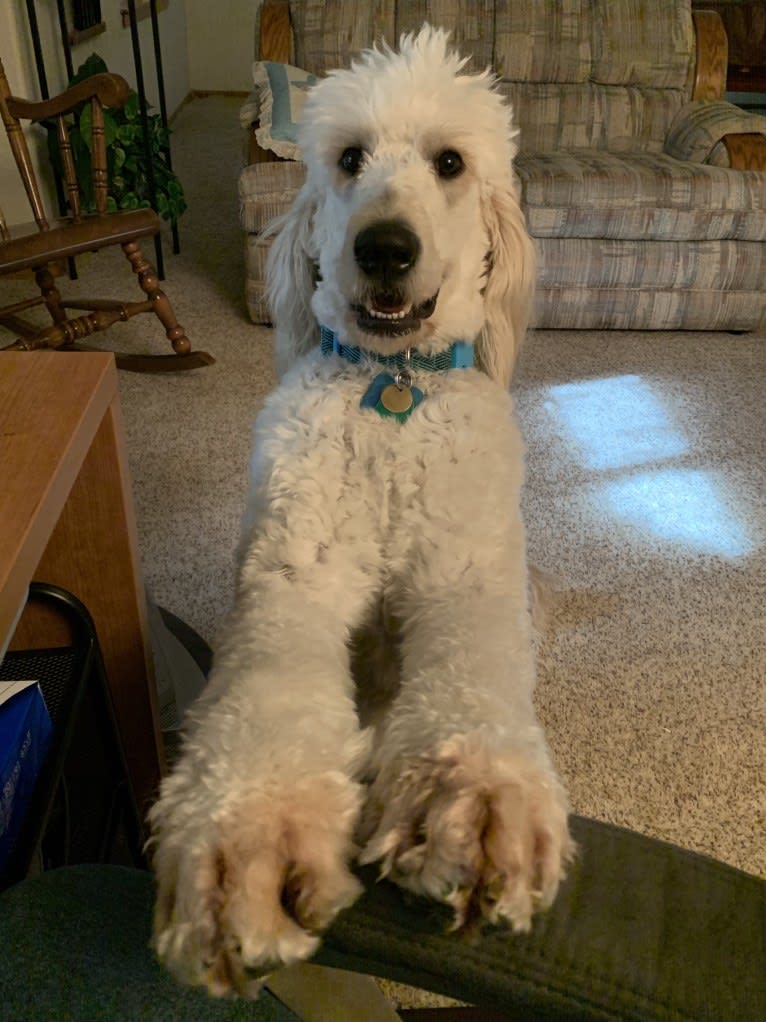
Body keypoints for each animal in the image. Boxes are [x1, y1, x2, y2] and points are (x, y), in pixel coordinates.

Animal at [150, 25, 571, 997]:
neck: (393, 395)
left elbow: (473, 682)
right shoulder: (294, 581)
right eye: (349, 159)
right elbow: (270, 693)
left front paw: (475, 801)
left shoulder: (465, 579)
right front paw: (254, 828)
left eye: (449, 162)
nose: (384, 248)